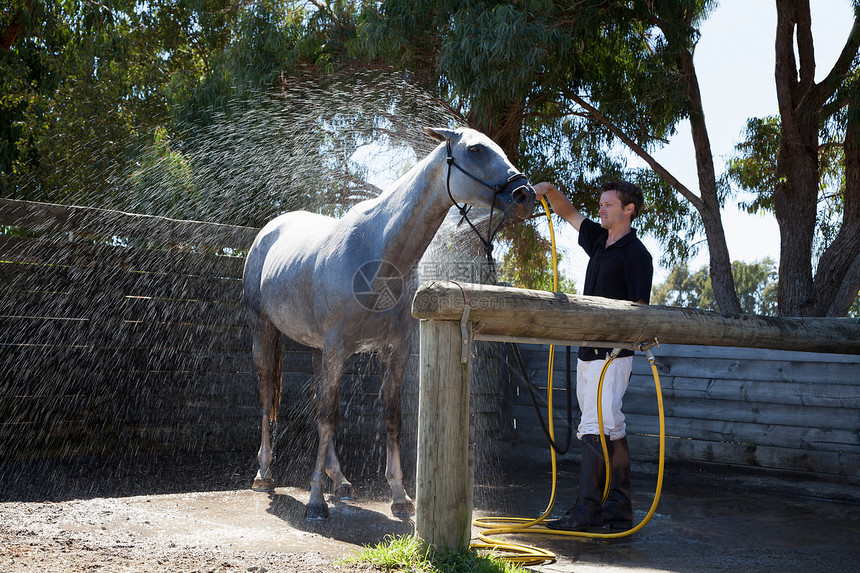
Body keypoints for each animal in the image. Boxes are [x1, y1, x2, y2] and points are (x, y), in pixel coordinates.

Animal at [242, 126, 536, 520]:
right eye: (475, 149)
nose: (525, 195)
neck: (378, 252)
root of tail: (269, 230)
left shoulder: (395, 350)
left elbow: (391, 417)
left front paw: (399, 496)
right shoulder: (337, 349)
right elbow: (329, 417)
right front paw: (316, 501)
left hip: (319, 349)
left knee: (318, 401)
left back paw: (341, 480)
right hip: (265, 331)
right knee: (266, 397)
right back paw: (265, 474)